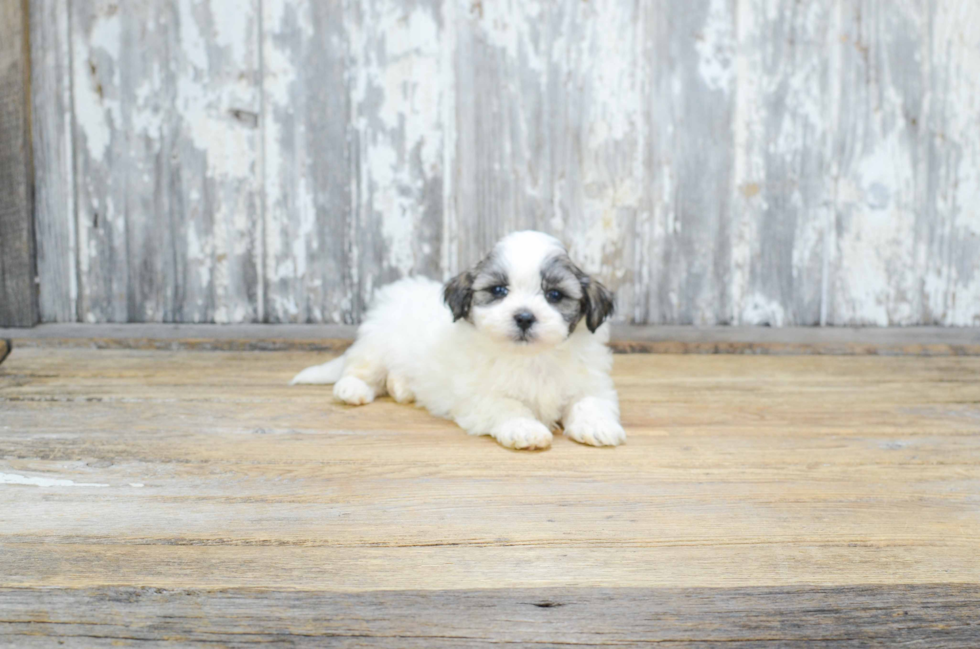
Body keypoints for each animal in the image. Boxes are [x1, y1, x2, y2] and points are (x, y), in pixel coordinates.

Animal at [292, 232, 628, 450]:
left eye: (555, 295)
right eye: (498, 291)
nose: (524, 317)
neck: (530, 358)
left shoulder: (590, 382)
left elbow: (589, 401)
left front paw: (597, 426)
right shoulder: (478, 395)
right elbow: (507, 405)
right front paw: (525, 429)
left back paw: (403, 388)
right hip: (377, 345)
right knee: (360, 368)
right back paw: (352, 388)